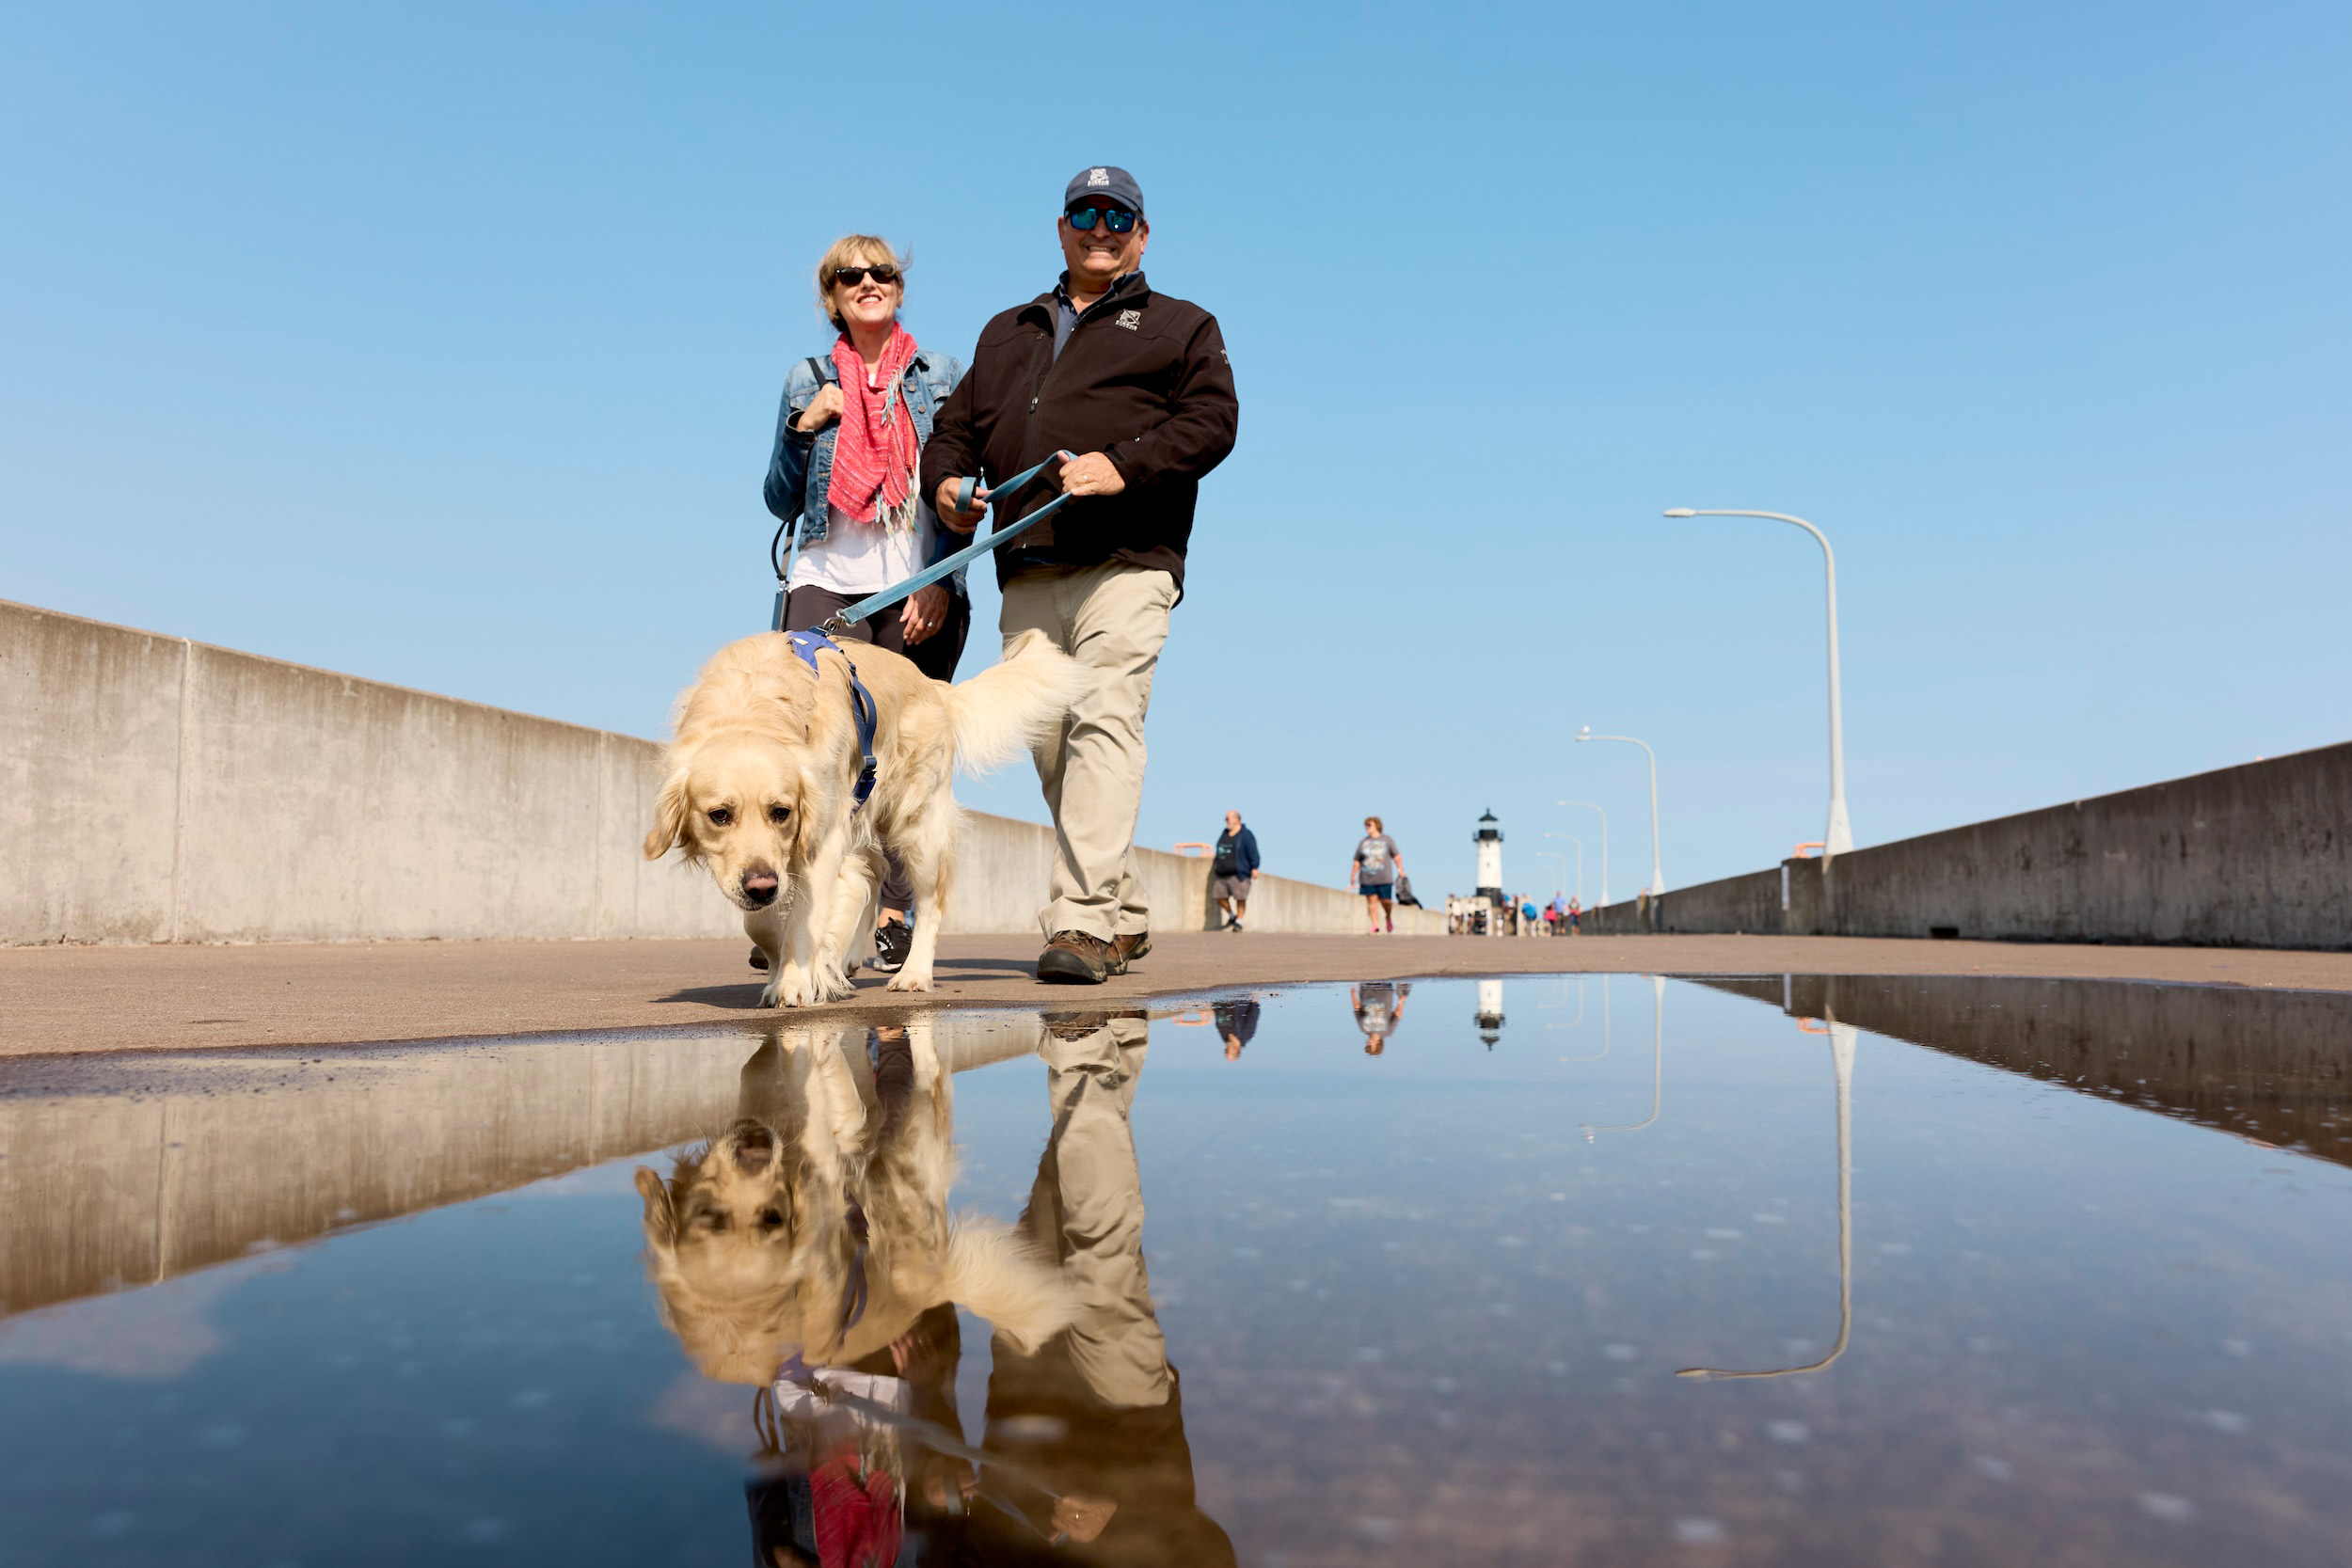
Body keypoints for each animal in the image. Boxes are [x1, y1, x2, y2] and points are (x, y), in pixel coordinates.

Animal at [635, 1020, 1077, 1382]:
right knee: (929, 1075)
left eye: (771, 1217)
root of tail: (940, 1283)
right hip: (909, 1150)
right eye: (707, 1214)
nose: (756, 1149)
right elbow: (811, 1091)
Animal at [644, 625, 1082, 1006]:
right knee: (870, 874)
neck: (755, 705)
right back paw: (846, 955)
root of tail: (935, 687)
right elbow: (762, 922)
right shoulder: (780, 861)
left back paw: (913, 974)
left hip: (916, 824)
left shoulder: (820, 836)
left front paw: (793, 981)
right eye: (719, 815)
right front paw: (790, 964)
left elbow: (803, 918)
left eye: (781, 812)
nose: (761, 887)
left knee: (929, 902)